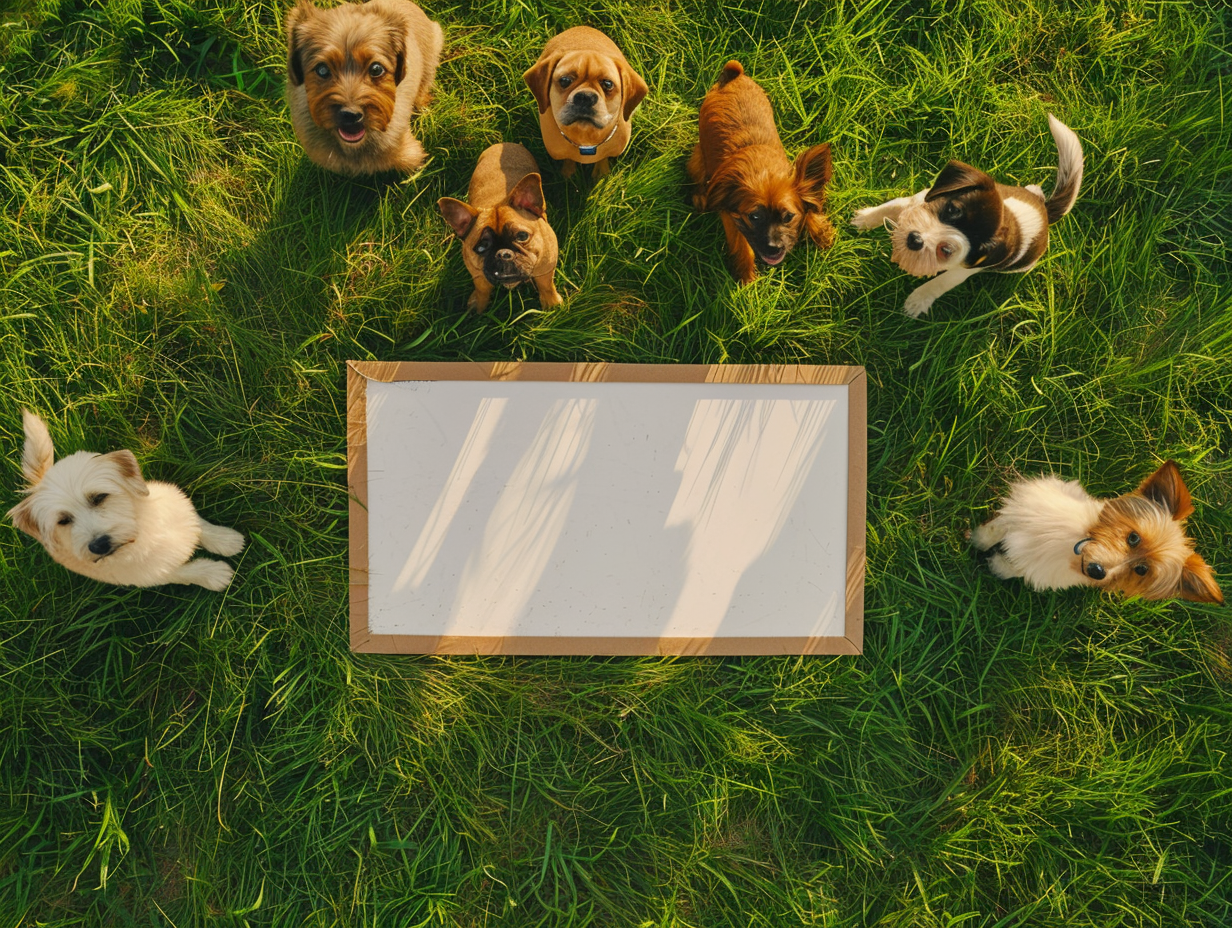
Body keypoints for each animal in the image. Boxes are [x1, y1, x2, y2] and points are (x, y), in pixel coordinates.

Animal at [7, 409, 245, 589]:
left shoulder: (176, 503)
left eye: (99, 497)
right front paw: (215, 574)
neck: (140, 533)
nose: (99, 545)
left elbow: (198, 524)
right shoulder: (150, 575)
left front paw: (226, 540)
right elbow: (186, 572)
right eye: (63, 521)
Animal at [689, 60, 832, 282]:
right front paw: (746, 275)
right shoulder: (729, 214)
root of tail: (734, 77)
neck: (764, 171)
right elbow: (742, 245)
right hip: (698, 158)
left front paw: (820, 231)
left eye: (788, 217)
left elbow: (809, 201)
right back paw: (700, 197)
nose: (774, 248)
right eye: (754, 217)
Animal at [970, 458, 1222, 601]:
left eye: (1141, 570)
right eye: (1133, 538)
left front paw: (997, 566)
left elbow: (1014, 568)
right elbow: (993, 531)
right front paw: (976, 540)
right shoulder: (1021, 512)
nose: (1097, 571)